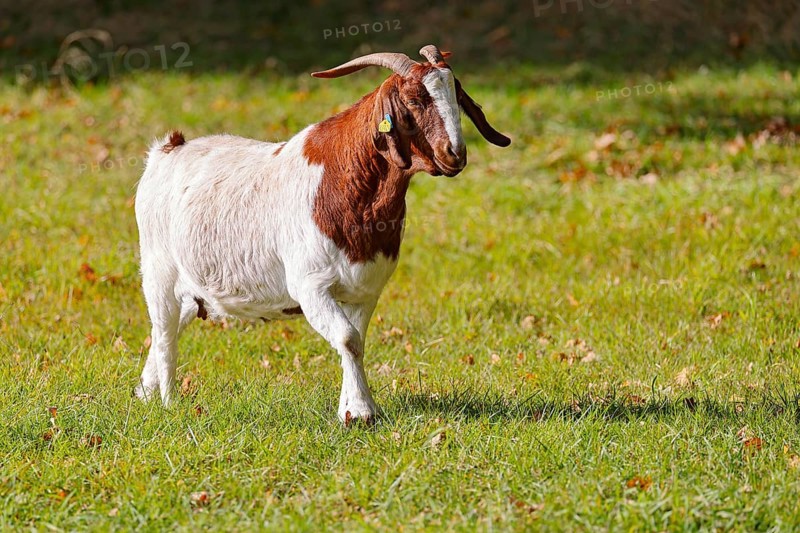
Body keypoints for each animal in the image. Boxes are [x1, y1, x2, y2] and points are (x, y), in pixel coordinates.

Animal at [134, 45, 510, 424]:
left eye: (456, 94)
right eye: (414, 100)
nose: (455, 154)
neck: (347, 182)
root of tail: (168, 150)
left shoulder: (365, 289)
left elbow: (357, 340)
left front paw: (352, 407)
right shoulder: (311, 285)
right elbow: (347, 339)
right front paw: (361, 412)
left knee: (169, 325)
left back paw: (146, 393)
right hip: (157, 272)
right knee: (164, 334)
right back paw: (168, 402)